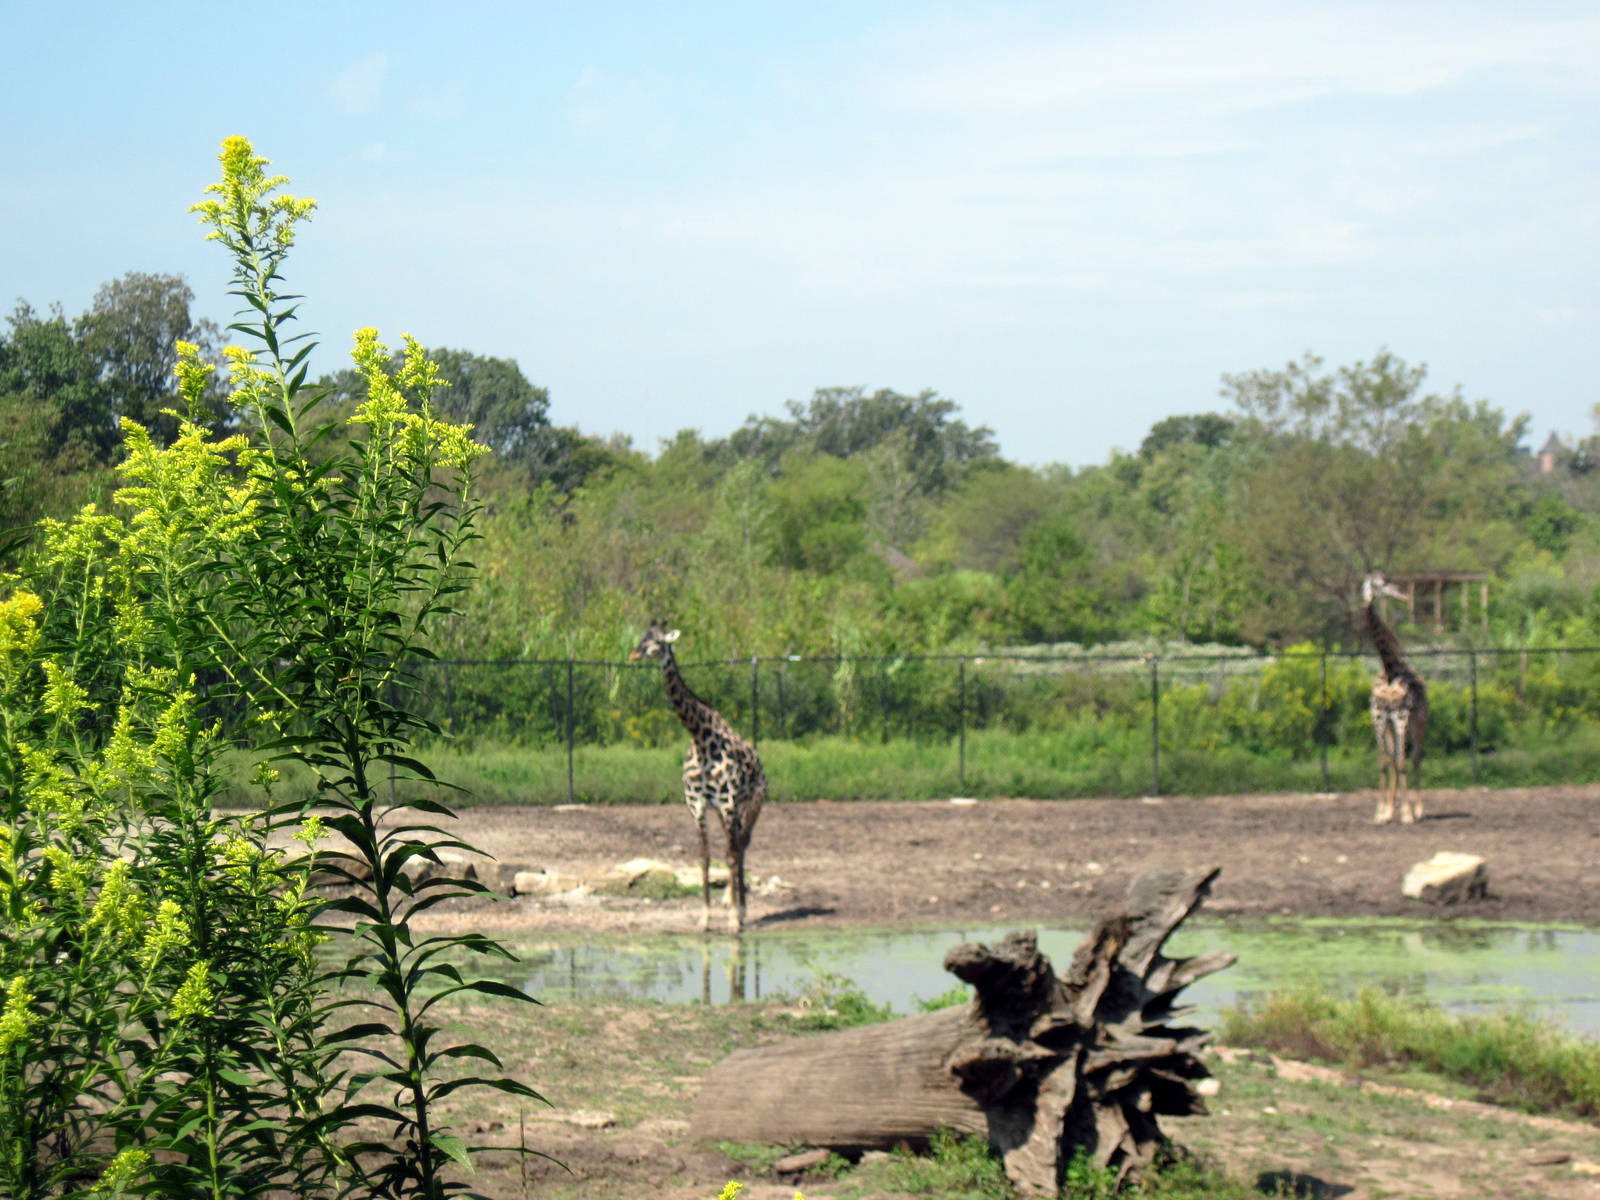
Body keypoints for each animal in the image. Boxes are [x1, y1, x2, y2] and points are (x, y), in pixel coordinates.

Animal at [630, 620, 767, 933]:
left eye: (658, 642)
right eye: (642, 637)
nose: (634, 653)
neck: (699, 736)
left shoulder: (729, 803)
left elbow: (728, 856)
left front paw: (733, 919)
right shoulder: (698, 805)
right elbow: (704, 858)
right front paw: (704, 918)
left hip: (752, 803)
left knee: (740, 846)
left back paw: (740, 908)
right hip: (725, 811)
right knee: (736, 845)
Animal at [1362, 571, 1429, 825]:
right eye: (1380, 583)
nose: (1404, 594)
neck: (1390, 669)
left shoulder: (1401, 716)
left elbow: (1402, 762)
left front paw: (1408, 813)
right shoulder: (1379, 717)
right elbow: (1385, 762)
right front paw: (1382, 812)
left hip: (1419, 722)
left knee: (1416, 758)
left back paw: (1418, 810)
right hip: (1392, 725)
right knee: (1393, 760)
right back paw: (1392, 809)